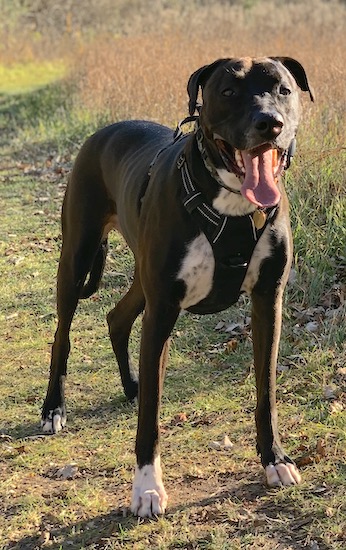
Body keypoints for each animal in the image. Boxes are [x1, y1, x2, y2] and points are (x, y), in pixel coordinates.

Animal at [42, 58, 314, 520]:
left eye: (284, 89)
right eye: (228, 91)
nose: (269, 124)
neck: (233, 205)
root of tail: (103, 132)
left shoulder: (267, 300)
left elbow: (266, 392)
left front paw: (275, 460)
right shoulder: (164, 309)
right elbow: (151, 417)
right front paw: (147, 488)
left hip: (142, 278)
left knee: (117, 317)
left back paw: (131, 385)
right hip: (77, 256)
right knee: (63, 333)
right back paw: (53, 409)